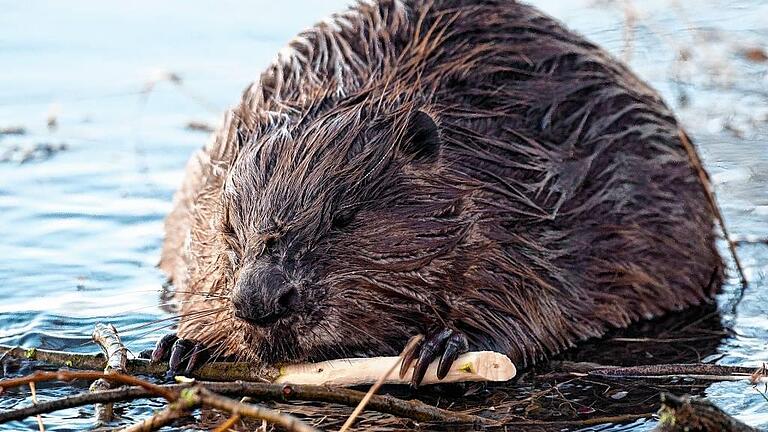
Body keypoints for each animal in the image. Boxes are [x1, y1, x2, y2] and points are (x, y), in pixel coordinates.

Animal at [152, 0, 728, 386]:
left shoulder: (535, 206)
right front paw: (185, 343)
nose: (260, 300)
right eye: (229, 224)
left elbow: (538, 300)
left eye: (343, 216)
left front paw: (444, 345)